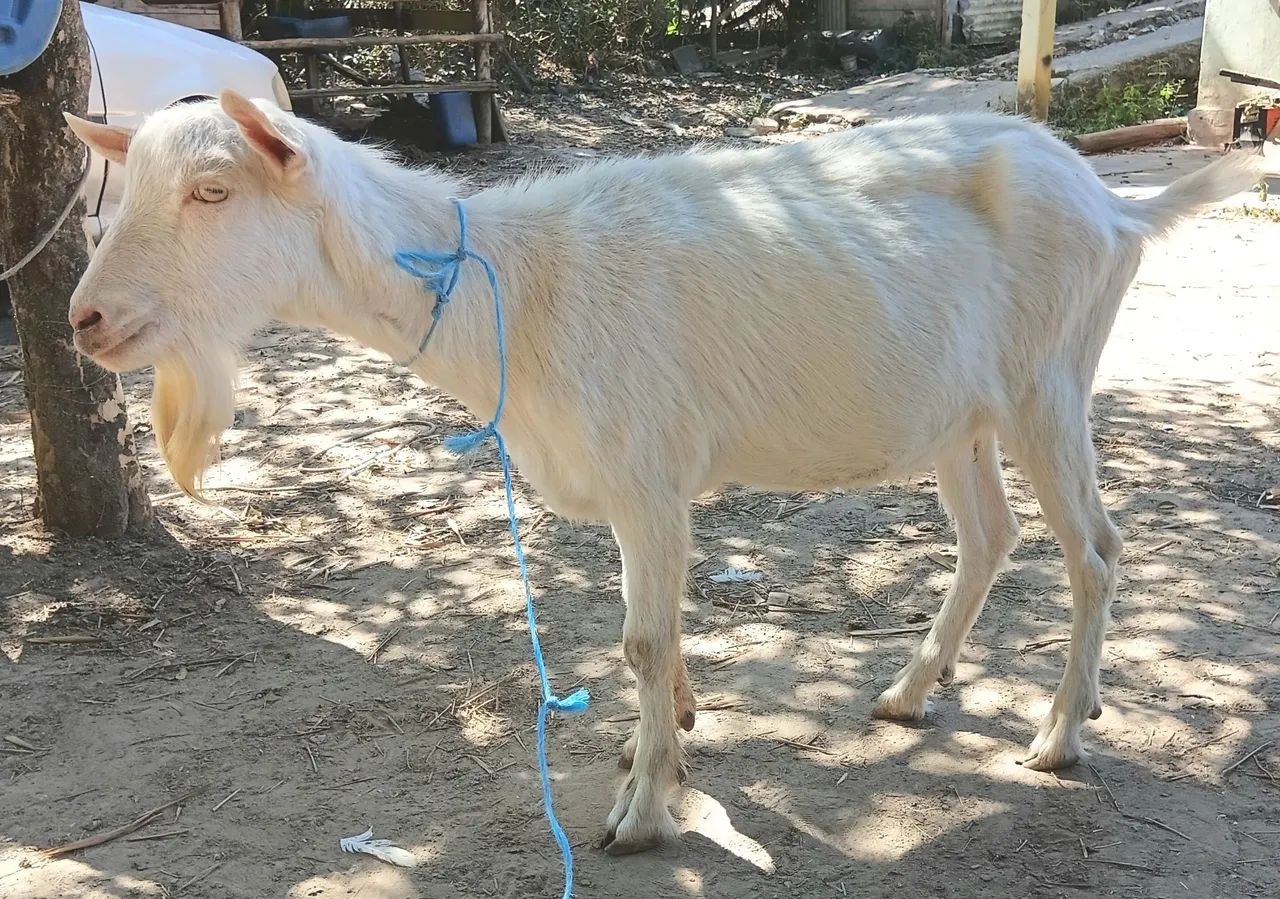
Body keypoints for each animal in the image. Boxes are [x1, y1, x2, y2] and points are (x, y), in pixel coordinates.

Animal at [64, 93, 1257, 855]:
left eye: (212, 191)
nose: (85, 318)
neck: (516, 291)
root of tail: (1116, 205)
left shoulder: (649, 476)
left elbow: (639, 640)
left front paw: (639, 814)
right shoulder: (636, 491)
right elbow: (659, 637)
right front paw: (674, 740)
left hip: (1047, 381)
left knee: (1094, 548)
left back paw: (1056, 735)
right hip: (959, 413)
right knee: (989, 537)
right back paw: (911, 691)